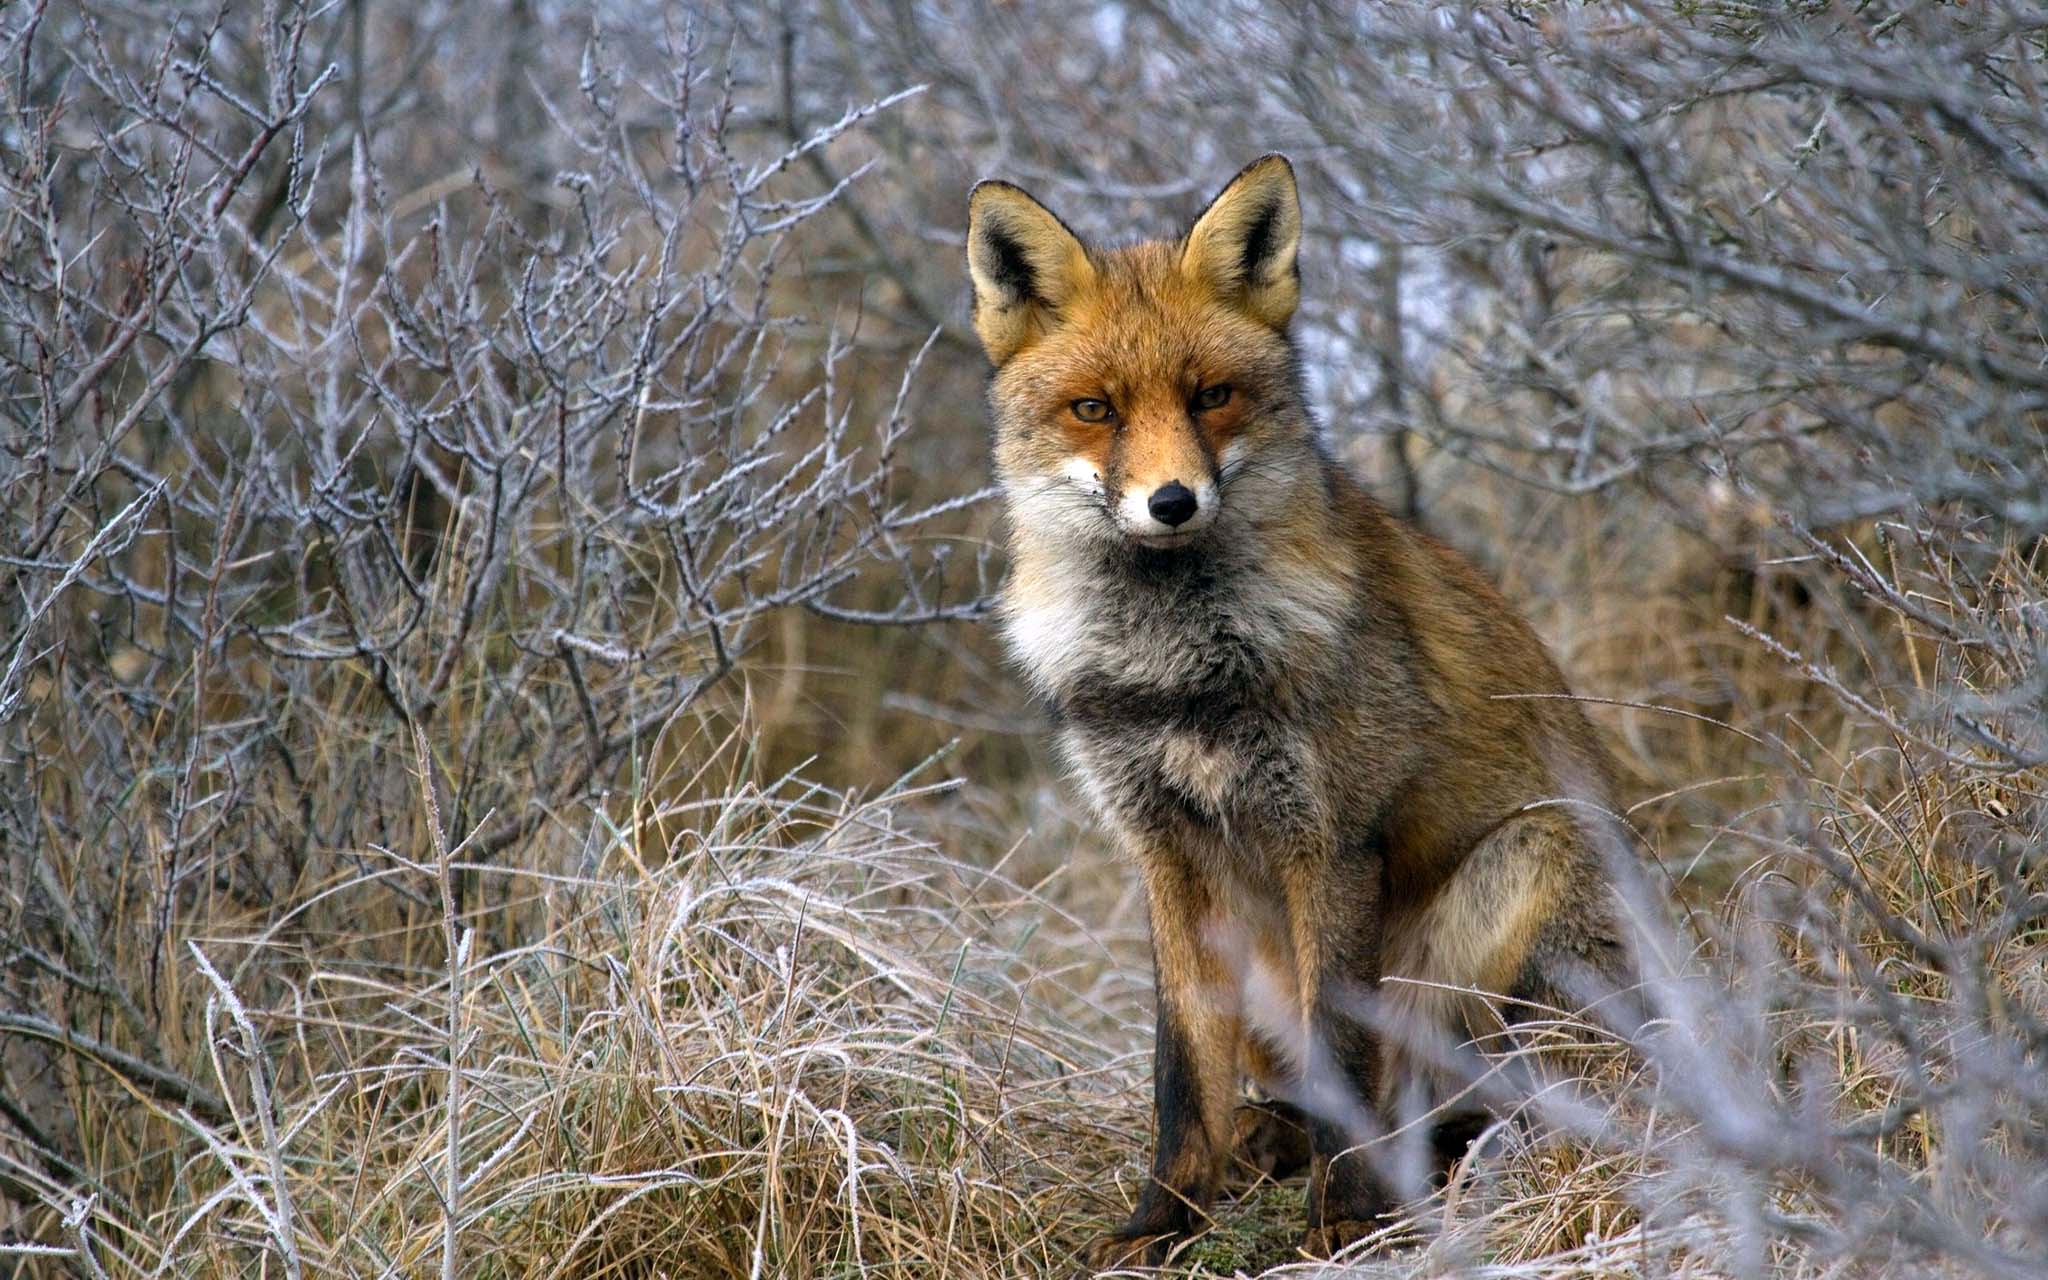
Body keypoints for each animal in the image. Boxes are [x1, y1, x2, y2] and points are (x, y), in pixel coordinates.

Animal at [965, 154, 1640, 1269]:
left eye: (1212, 396)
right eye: (1094, 408)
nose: (1171, 502)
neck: (1178, 675)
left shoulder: (1329, 839)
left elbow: (1342, 1042)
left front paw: (1344, 1217)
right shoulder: (1164, 853)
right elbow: (1179, 1071)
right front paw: (1164, 1219)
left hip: (1524, 871)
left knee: (1464, 1097)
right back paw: (1267, 1142)